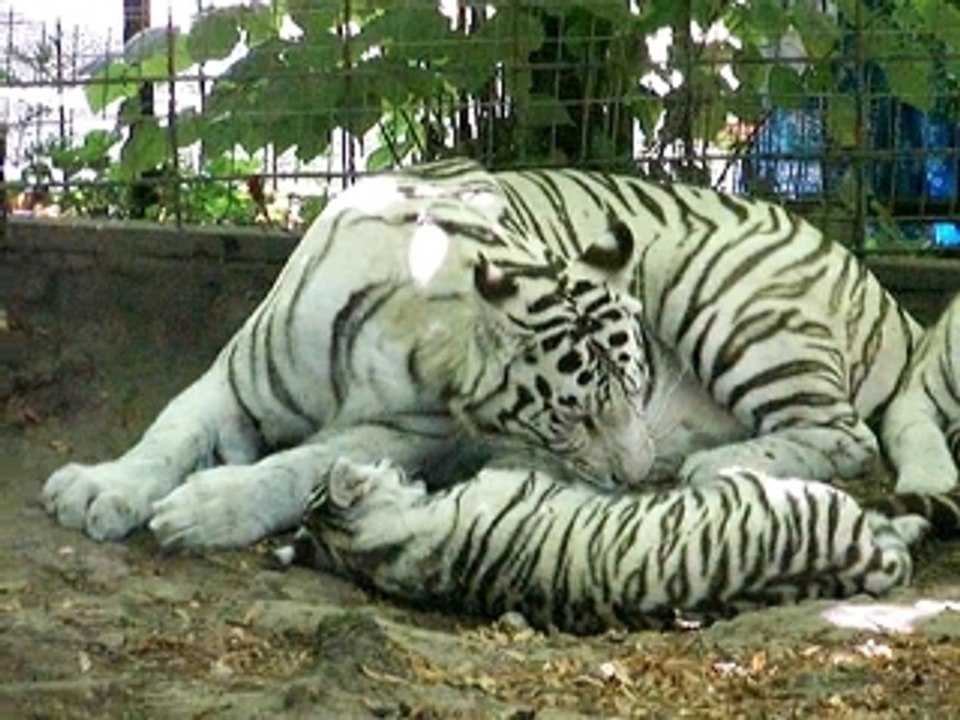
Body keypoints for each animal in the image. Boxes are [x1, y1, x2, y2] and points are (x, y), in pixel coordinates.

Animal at [42, 158, 923, 550]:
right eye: (577, 415)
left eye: (636, 390)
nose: (638, 478)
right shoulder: (235, 379)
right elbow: (168, 431)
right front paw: (100, 489)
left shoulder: (413, 432)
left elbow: (298, 467)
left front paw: (206, 509)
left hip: (724, 300)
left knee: (849, 436)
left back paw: (715, 464)